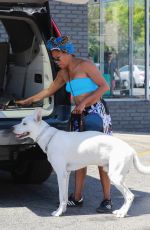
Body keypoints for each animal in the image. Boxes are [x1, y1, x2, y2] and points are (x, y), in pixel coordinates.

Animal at [12, 109, 150, 217]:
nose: (12, 128)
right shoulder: (66, 175)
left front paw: (58, 213)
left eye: (24, 123)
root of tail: (130, 149)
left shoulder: (61, 175)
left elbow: (61, 196)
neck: (50, 137)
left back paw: (122, 213)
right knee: (127, 197)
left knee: (130, 196)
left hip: (115, 177)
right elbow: (64, 196)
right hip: (117, 176)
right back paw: (120, 211)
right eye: (21, 121)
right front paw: (63, 210)